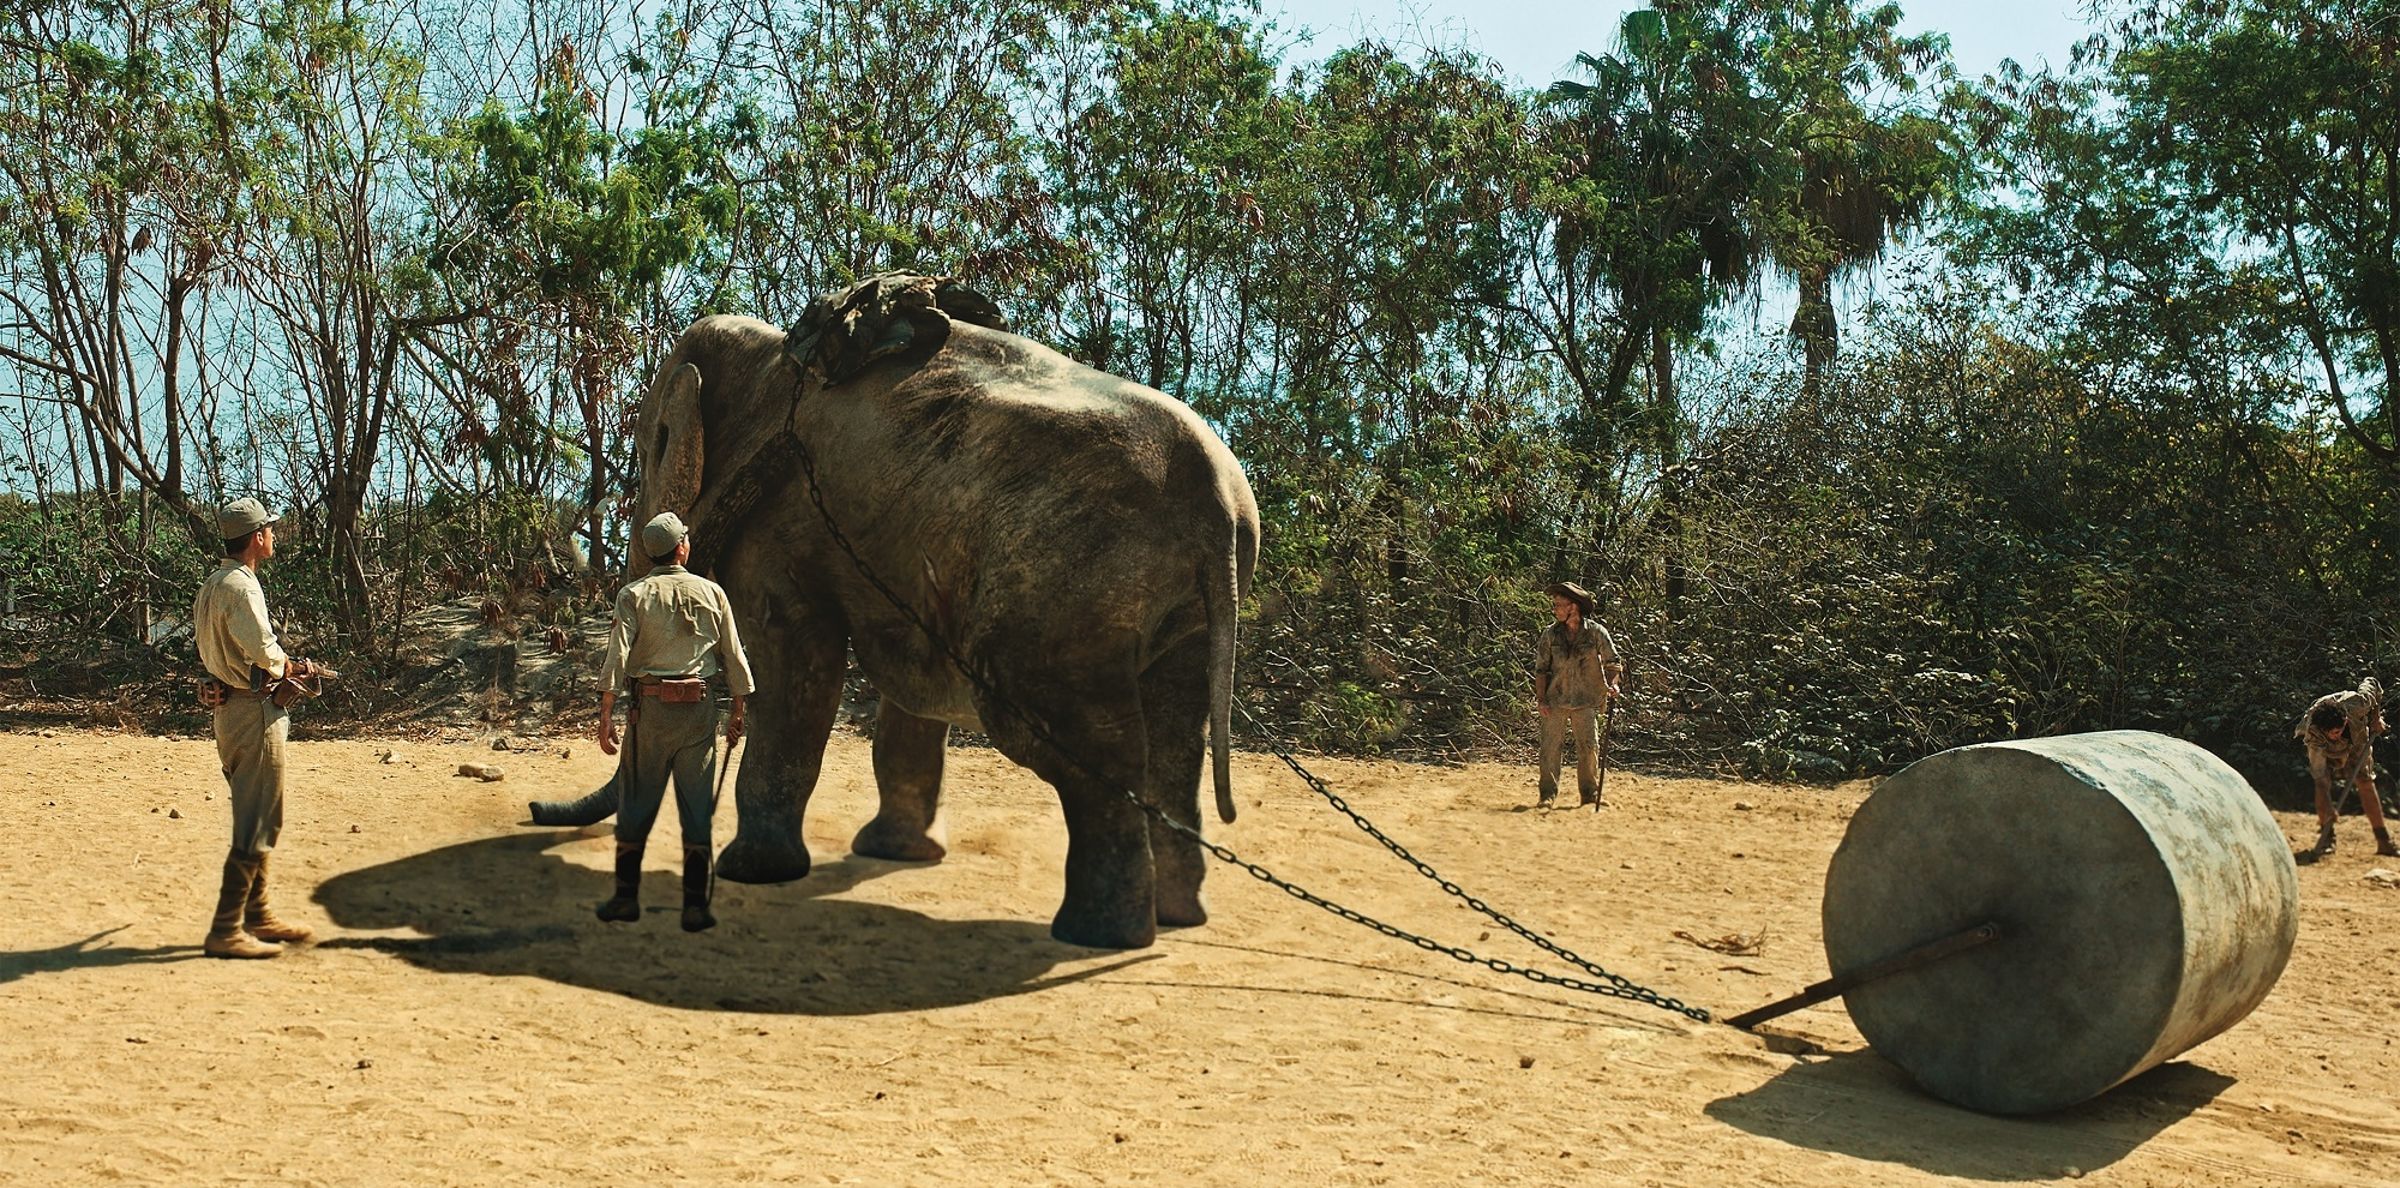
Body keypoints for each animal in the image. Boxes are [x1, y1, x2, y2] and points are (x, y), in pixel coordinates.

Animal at [531, 273, 1259, 950]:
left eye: (652, 446)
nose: (536, 808)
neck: (771, 356)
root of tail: (1218, 503)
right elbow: (911, 682)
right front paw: (896, 854)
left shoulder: (787, 519)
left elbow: (794, 664)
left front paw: (753, 872)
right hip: (1176, 609)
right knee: (1174, 738)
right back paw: (1178, 918)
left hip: (1064, 589)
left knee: (1078, 741)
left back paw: (1100, 936)